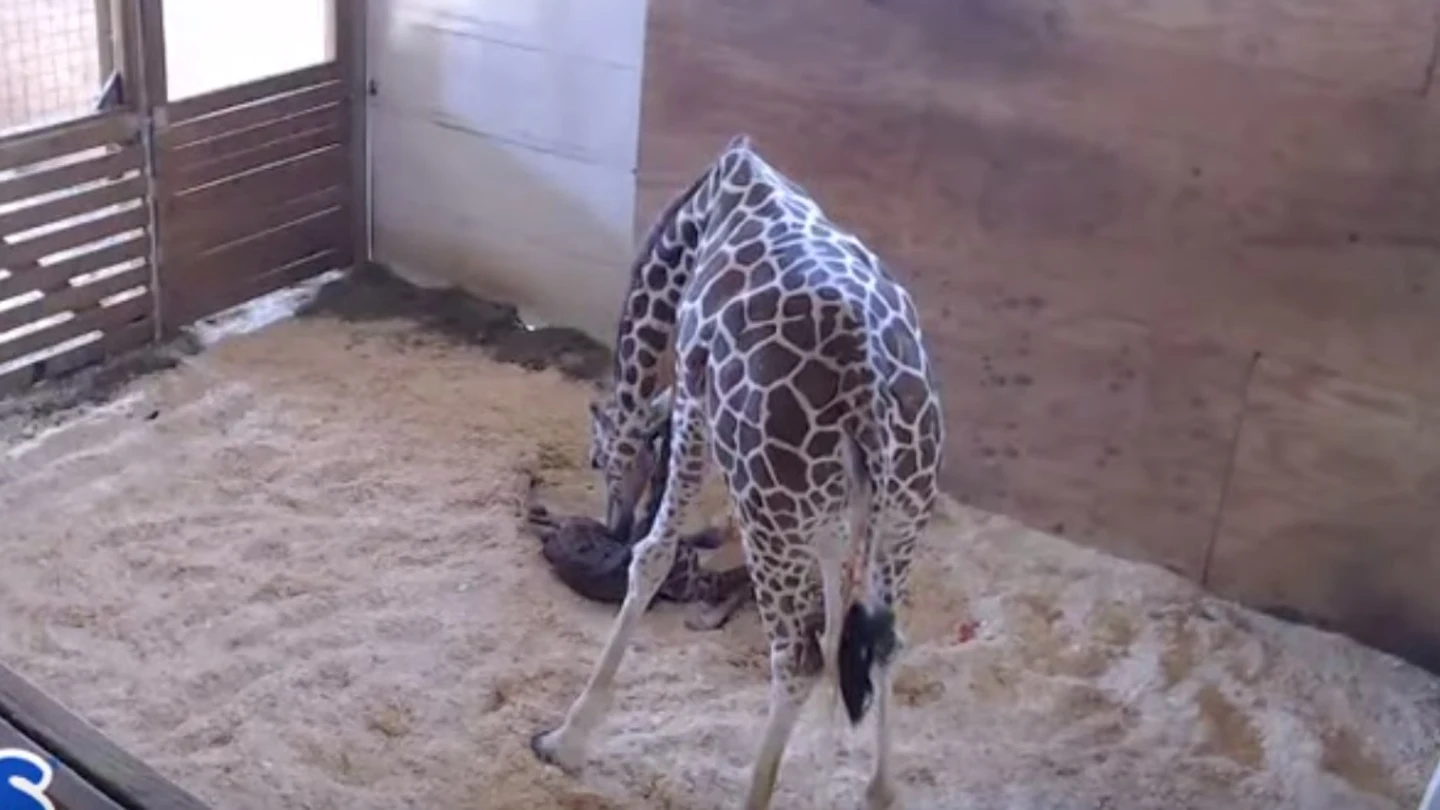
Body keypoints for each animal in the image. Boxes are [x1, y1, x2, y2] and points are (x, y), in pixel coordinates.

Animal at [529, 135, 945, 810]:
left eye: (597, 457)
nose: (611, 522)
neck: (702, 214)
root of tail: (871, 389)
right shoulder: (833, 520)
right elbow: (841, 631)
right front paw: (826, 763)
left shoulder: (695, 407)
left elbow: (654, 556)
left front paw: (565, 741)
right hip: (901, 514)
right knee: (880, 643)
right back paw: (877, 790)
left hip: (770, 513)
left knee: (795, 658)